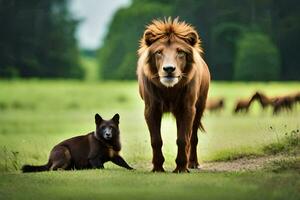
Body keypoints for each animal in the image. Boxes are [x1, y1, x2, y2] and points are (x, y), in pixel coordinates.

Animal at [137, 18, 210, 173]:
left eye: (180, 52)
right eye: (159, 52)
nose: (169, 69)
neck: (169, 90)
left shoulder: (188, 108)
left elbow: (183, 139)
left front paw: (181, 168)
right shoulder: (151, 108)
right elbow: (156, 140)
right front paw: (157, 168)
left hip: (199, 107)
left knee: (193, 137)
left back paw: (192, 163)